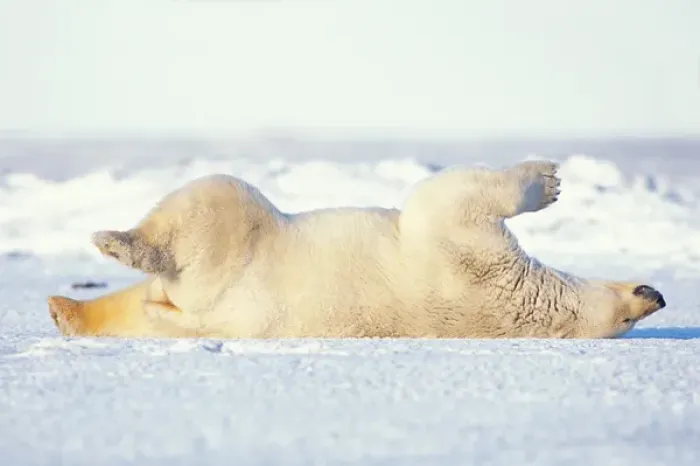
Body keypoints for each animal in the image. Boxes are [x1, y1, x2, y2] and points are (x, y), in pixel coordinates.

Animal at [48, 160, 666, 339]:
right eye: (634, 306)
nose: (656, 292)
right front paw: (552, 179)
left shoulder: (471, 260)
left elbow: (446, 201)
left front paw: (546, 179)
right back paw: (66, 305)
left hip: (229, 265)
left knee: (214, 203)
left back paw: (96, 269)